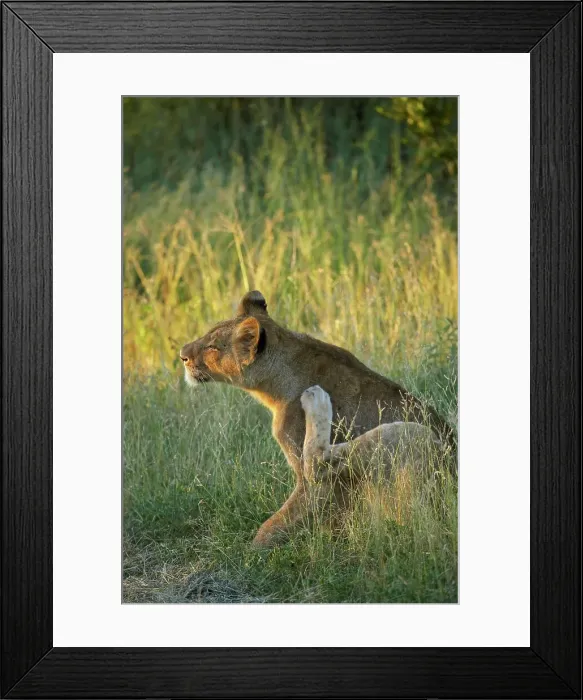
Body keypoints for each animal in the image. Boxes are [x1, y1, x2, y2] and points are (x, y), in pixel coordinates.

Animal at [180, 290, 455, 547]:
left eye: (213, 347)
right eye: (208, 333)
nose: (182, 354)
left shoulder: (313, 483)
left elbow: (277, 523)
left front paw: (254, 552)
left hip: (410, 434)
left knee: (318, 463)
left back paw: (317, 399)